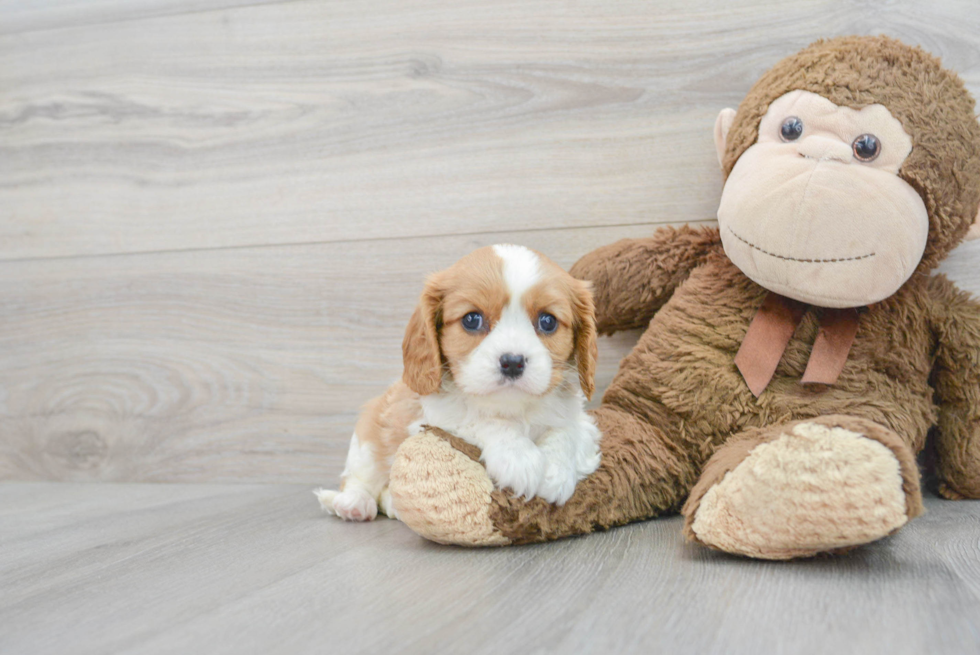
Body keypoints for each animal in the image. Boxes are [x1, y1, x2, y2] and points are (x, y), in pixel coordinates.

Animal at [318, 245, 600, 524]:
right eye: (472, 319)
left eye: (547, 321)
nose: (512, 362)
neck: (512, 408)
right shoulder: (432, 419)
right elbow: (480, 419)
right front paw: (519, 457)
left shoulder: (582, 423)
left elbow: (566, 431)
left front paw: (556, 471)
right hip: (367, 440)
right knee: (358, 479)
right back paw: (354, 504)